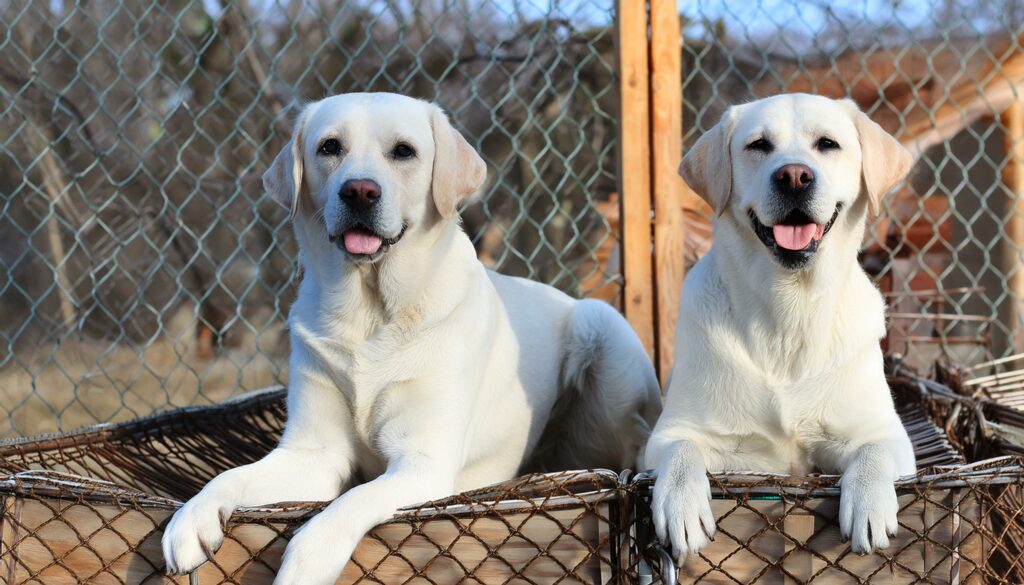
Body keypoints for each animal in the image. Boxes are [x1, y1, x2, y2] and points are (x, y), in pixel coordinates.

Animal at [158, 93, 655, 581]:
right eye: (329, 147)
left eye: (403, 151)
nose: (359, 191)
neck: (370, 313)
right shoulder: (314, 451)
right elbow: (230, 475)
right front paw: (191, 518)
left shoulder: (422, 463)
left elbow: (346, 504)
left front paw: (303, 565)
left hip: (602, 330)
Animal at [643, 93, 917, 561]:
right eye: (758, 145)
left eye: (827, 144)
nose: (794, 177)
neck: (790, 310)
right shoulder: (668, 435)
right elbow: (681, 449)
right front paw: (681, 506)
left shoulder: (886, 434)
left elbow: (873, 450)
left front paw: (869, 505)